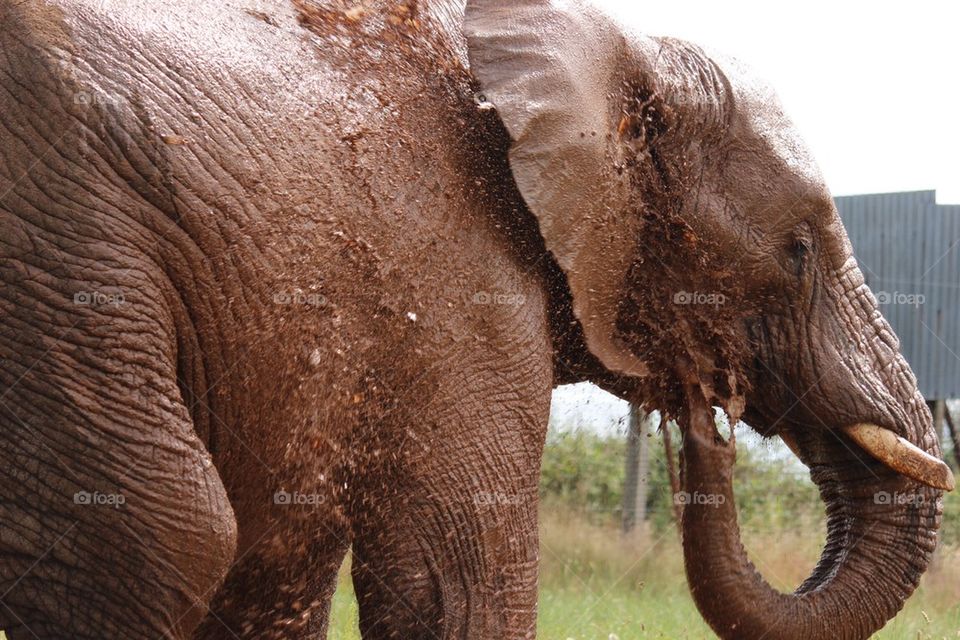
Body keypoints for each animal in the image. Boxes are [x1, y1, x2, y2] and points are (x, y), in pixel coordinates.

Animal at [0, 0, 952, 638]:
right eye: (797, 251)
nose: (704, 414)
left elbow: (287, 565)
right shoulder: (458, 270)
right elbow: (457, 582)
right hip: (64, 242)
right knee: (167, 531)